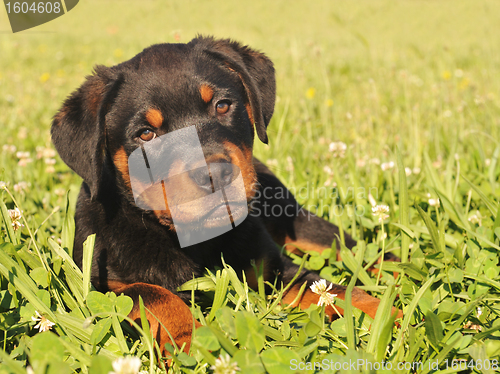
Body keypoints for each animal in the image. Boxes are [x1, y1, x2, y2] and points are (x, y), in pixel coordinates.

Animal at [49, 35, 394, 354]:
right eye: (146, 134)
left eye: (223, 105)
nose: (215, 174)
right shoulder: (100, 284)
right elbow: (156, 295)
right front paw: (191, 341)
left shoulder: (274, 267)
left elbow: (333, 289)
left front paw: (387, 315)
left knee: (356, 250)